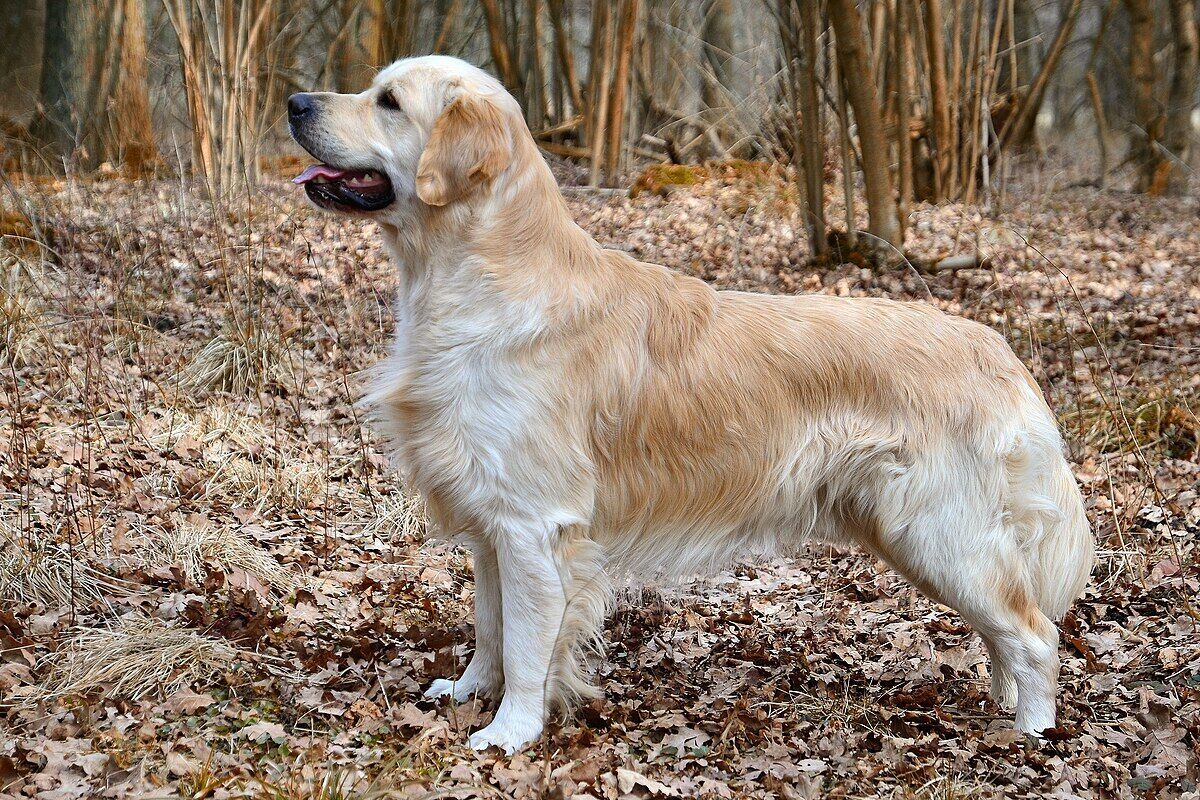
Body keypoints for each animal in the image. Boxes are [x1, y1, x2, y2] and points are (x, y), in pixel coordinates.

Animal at [290, 57, 1099, 758]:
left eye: (389, 102)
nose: (296, 102)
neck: (481, 276)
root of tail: (996, 349)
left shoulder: (533, 523)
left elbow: (524, 645)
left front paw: (508, 732)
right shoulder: (493, 520)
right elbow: (489, 627)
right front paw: (466, 693)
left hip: (939, 533)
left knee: (1035, 635)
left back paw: (1033, 734)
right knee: (1007, 629)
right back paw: (1003, 704)